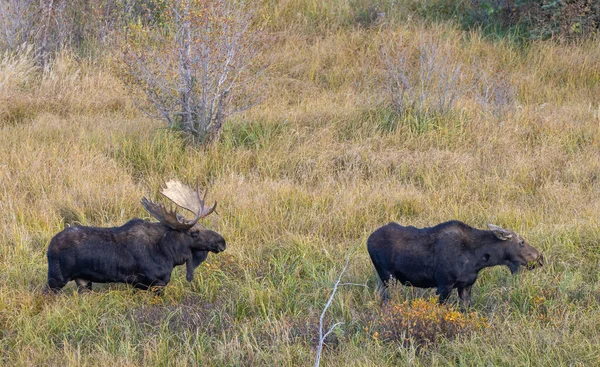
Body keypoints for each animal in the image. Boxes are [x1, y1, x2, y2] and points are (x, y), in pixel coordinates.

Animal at [42, 180, 225, 294]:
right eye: (194, 232)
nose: (222, 242)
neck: (171, 253)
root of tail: (49, 248)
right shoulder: (154, 283)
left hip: (83, 281)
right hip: (56, 278)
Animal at [366, 221, 544, 304]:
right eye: (521, 242)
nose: (540, 258)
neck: (478, 259)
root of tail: (368, 240)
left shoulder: (465, 286)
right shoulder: (444, 284)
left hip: (381, 279)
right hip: (388, 277)